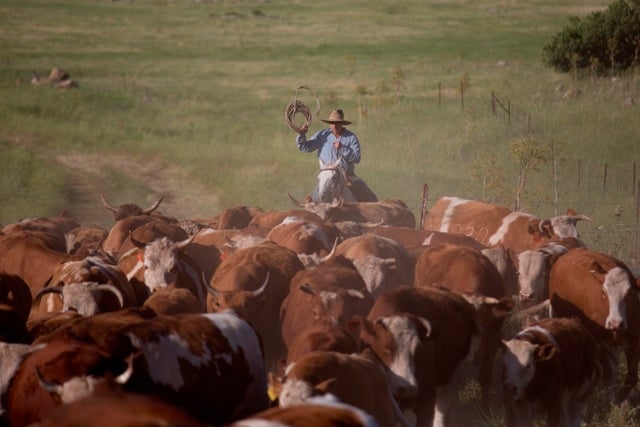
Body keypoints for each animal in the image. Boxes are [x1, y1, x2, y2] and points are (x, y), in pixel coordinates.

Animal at [352, 286, 478, 427]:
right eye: (386, 347)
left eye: (418, 348)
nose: (407, 388)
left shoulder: (426, 404)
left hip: (452, 378)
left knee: (441, 413)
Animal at [548, 247, 640, 404]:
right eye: (603, 292)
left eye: (629, 293)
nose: (615, 323)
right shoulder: (598, 342)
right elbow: (609, 374)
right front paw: (613, 401)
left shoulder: (634, 342)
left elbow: (632, 377)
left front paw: (620, 399)